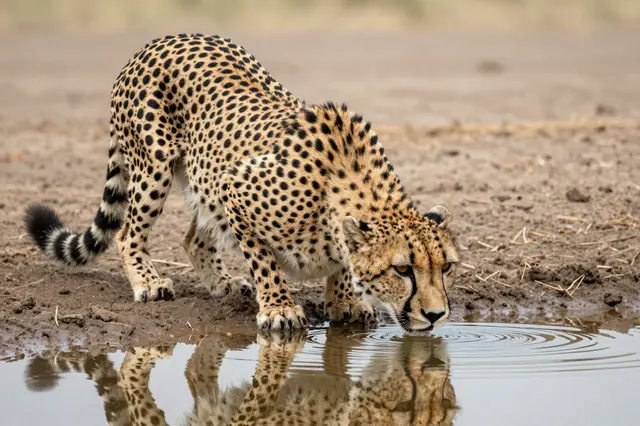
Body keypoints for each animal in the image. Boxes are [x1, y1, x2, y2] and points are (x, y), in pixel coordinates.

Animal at [24, 33, 459, 331]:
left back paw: (223, 283)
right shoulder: (235, 189)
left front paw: (343, 302)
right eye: (403, 270)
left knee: (193, 238)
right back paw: (149, 283)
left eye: (448, 268)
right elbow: (265, 261)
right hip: (155, 167)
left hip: (199, 176)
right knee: (129, 232)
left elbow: (339, 265)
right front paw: (280, 308)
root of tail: (158, 41)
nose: (436, 315)